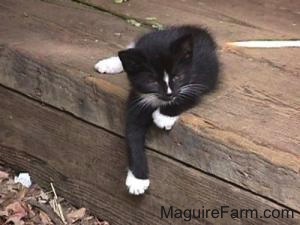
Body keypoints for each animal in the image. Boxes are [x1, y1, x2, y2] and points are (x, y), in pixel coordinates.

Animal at [95, 25, 219, 195]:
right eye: (152, 81)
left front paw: (163, 117)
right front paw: (138, 179)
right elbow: (132, 133)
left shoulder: (197, 80)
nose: (169, 94)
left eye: (177, 77)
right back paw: (109, 64)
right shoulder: (137, 98)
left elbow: (185, 97)